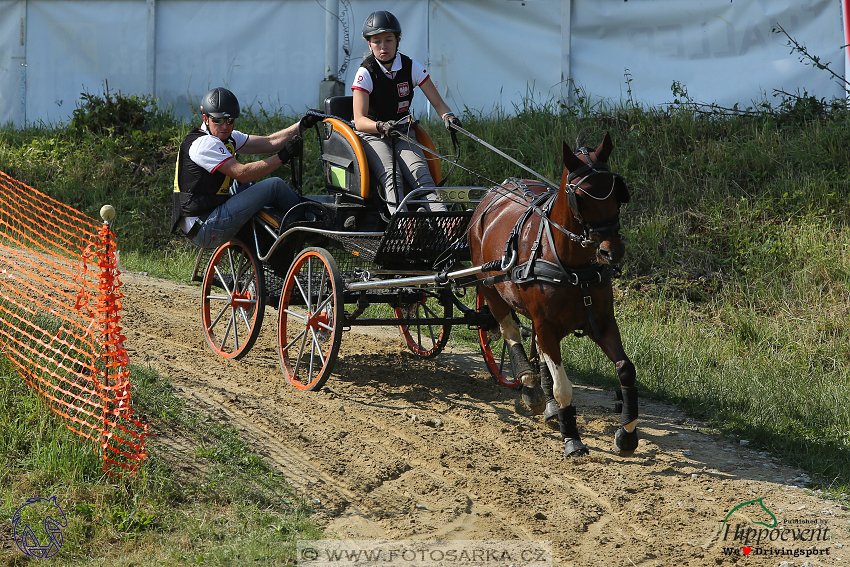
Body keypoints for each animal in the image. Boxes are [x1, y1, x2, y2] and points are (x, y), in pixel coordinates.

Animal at [464, 134, 636, 462]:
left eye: (617, 193)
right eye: (580, 197)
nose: (612, 251)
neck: (574, 267)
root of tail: (493, 193)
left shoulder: (602, 321)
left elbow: (625, 369)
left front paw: (627, 433)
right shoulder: (545, 324)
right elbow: (563, 387)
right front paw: (572, 438)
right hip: (490, 288)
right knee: (510, 331)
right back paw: (529, 385)